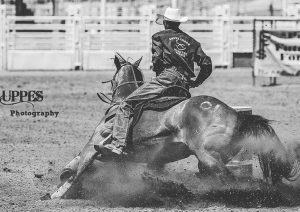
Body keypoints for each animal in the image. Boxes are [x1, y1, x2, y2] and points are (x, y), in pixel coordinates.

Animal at [54, 53, 300, 200]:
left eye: (113, 77)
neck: (122, 102)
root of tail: (235, 115)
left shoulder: (93, 145)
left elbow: (79, 166)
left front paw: (59, 192)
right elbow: (79, 165)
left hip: (207, 155)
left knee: (229, 178)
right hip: (219, 156)